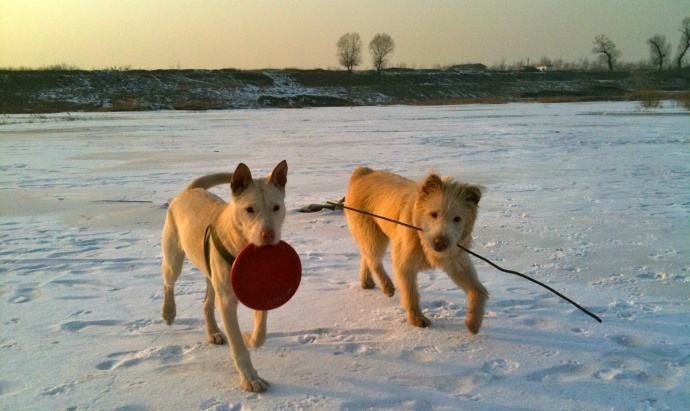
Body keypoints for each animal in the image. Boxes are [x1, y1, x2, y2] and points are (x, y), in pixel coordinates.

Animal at [160, 161, 286, 392]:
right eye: (249, 209)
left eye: (276, 207)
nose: (269, 235)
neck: (241, 244)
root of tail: (189, 190)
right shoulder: (227, 302)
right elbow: (238, 346)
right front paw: (250, 379)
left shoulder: (260, 292)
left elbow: (260, 333)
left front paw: (250, 338)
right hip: (174, 259)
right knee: (168, 284)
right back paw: (169, 312)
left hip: (211, 273)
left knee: (206, 302)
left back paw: (213, 332)